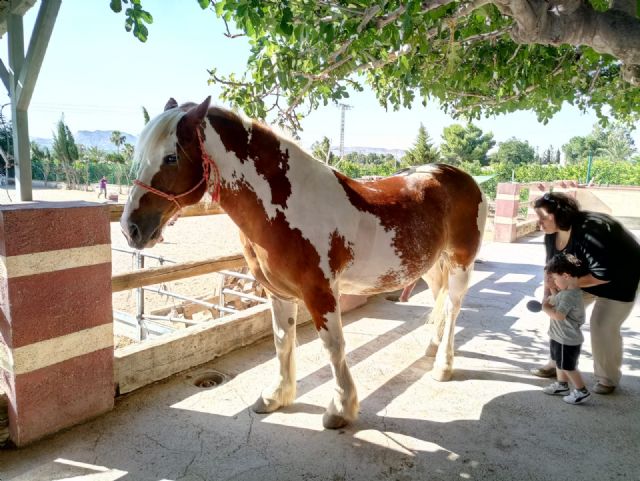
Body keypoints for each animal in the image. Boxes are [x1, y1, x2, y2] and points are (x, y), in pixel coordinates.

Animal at [121, 97, 490, 428]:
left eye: (171, 157)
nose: (130, 228)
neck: (287, 206)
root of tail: (460, 177)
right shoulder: (278, 292)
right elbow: (282, 342)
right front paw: (276, 396)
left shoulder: (320, 292)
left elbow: (333, 345)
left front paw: (340, 408)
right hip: (430, 266)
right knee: (439, 300)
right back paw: (431, 348)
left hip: (460, 261)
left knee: (453, 307)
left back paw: (443, 366)